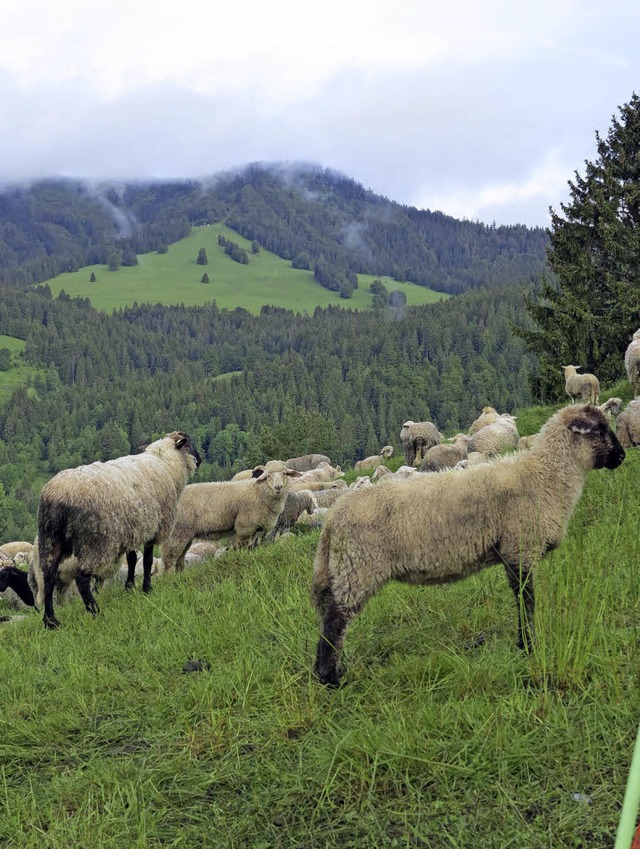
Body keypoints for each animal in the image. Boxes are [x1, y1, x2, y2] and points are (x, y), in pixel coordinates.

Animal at [32, 434, 201, 628]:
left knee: (48, 577)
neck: (166, 464)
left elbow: (132, 559)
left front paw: (129, 587)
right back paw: (94, 611)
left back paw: (50, 621)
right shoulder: (153, 527)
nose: (200, 460)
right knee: (81, 577)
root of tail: (58, 497)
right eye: (189, 444)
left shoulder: (132, 528)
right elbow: (148, 561)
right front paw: (147, 589)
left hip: (50, 538)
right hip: (94, 541)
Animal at [160, 458, 300, 568]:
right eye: (268, 476)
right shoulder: (244, 527)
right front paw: (243, 561)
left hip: (185, 534)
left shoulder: (255, 529)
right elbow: (243, 547)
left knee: (179, 559)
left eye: (284, 473)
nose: (278, 487)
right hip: (178, 532)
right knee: (169, 559)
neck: (259, 492)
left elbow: (253, 546)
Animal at [312, 400, 624, 684]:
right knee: (335, 621)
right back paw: (331, 679)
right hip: (359, 568)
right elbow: (526, 601)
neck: (545, 476)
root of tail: (333, 517)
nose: (621, 457)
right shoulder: (520, 548)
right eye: (599, 430)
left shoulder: (512, 552)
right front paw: (529, 646)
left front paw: (523, 643)